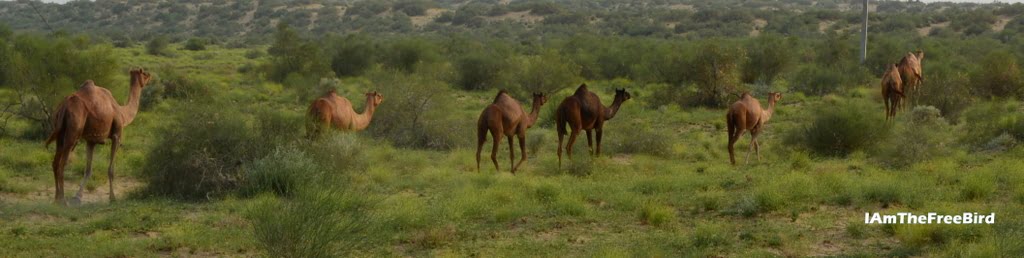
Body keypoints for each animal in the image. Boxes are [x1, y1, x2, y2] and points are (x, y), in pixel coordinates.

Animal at [46, 68, 151, 205]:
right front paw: (112, 198)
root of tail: (64, 107)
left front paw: (77, 197)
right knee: (62, 164)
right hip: (72, 133)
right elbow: (111, 169)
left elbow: (88, 170)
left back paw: (56, 199)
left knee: (55, 162)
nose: (150, 75)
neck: (122, 113)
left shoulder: (91, 141)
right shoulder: (117, 136)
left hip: (59, 133)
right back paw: (63, 200)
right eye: (144, 73)